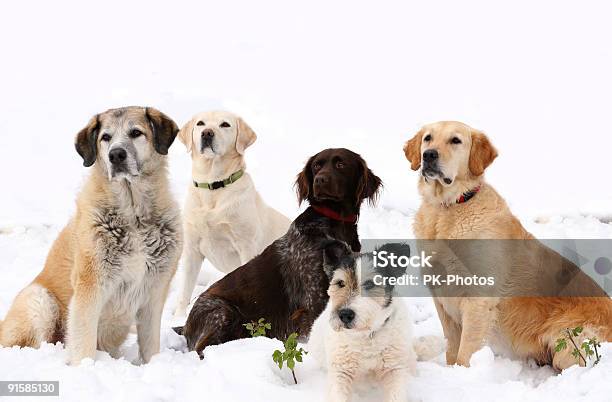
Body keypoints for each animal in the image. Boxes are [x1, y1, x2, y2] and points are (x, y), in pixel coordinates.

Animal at [0, 107, 182, 364]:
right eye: (105, 137)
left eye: (136, 132)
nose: (116, 155)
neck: (133, 215)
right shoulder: (90, 287)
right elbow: (83, 340)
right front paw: (85, 366)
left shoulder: (154, 292)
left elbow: (149, 345)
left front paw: (153, 365)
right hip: (40, 302)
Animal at [173, 111, 290, 316]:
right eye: (200, 123)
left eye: (225, 124)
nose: (207, 133)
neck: (213, 187)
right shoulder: (191, 249)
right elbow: (185, 291)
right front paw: (179, 316)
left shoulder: (246, 246)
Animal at [308, 242, 432, 402]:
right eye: (340, 283)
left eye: (369, 284)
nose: (345, 315)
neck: (366, 335)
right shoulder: (340, 372)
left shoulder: (394, 371)